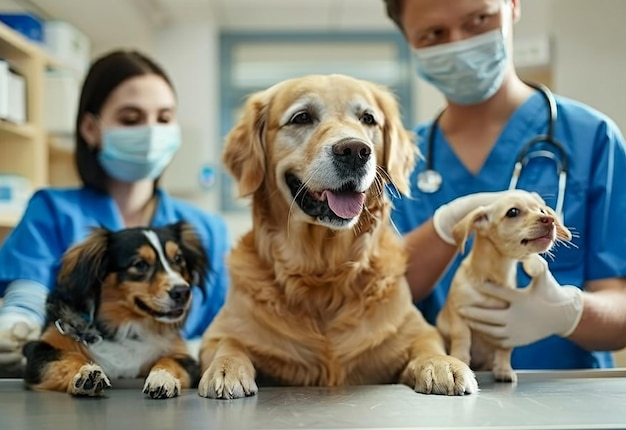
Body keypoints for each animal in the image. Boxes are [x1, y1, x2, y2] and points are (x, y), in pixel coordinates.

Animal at [23, 222, 207, 400]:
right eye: (140, 264)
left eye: (178, 259)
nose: (183, 292)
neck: (126, 325)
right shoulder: (39, 351)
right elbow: (69, 357)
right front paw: (86, 375)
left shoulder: (184, 357)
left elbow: (170, 361)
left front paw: (162, 377)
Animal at [436, 191, 568, 382]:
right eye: (513, 212)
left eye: (542, 210)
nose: (549, 219)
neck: (493, 277)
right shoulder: (459, 315)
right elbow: (462, 339)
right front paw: (460, 360)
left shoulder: (506, 326)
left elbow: (505, 349)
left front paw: (504, 369)